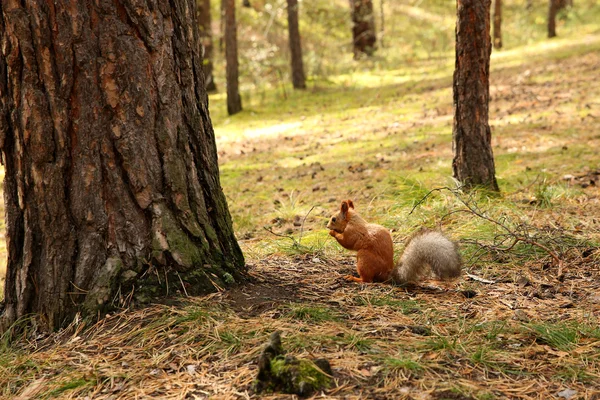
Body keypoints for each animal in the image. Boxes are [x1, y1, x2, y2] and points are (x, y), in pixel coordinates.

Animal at [326, 198, 462, 282]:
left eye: (333, 219)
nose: (327, 226)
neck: (353, 220)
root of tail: (387, 274)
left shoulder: (353, 231)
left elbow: (347, 242)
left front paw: (333, 233)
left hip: (364, 258)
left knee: (368, 280)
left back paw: (354, 278)